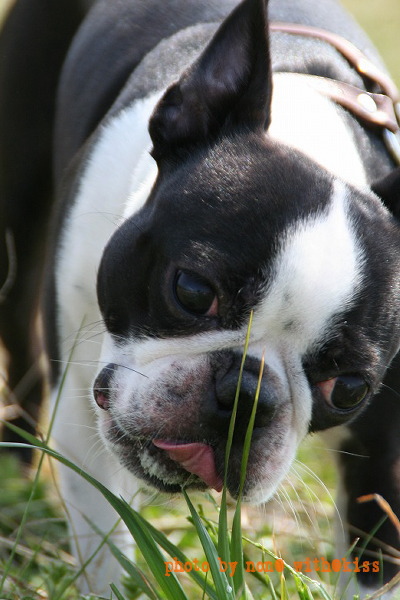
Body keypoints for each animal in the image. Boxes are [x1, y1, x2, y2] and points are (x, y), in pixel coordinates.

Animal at [1, 0, 400, 596]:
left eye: (350, 389)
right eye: (191, 291)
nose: (247, 394)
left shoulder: (383, 459)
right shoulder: (80, 411)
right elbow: (106, 545)